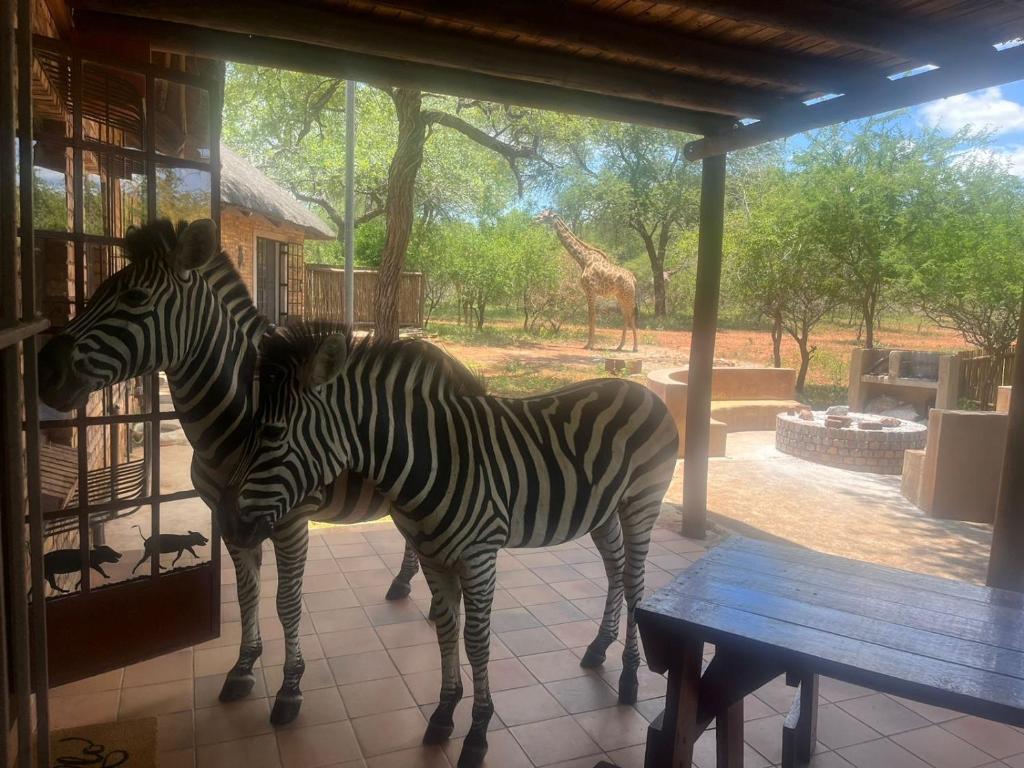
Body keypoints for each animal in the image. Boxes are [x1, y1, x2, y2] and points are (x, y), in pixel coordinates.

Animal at [36, 219, 424, 725]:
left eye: (136, 297)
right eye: (99, 289)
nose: (43, 370)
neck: (239, 424)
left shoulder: (291, 522)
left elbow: (286, 603)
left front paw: (290, 689)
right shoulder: (230, 520)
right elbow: (246, 595)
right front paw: (243, 669)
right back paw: (403, 583)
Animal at [225, 322, 679, 768]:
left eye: (272, 432)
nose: (234, 528)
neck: (429, 457)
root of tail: (639, 390)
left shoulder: (479, 556)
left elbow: (476, 641)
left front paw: (477, 735)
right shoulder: (432, 557)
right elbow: (446, 630)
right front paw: (444, 714)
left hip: (641, 504)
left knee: (635, 585)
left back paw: (629, 677)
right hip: (602, 512)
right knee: (615, 573)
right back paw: (599, 647)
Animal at [536, 210, 639, 352]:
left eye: (545, 216)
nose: (536, 219)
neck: (583, 259)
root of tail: (633, 279)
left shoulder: (590, 290)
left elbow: (591, 316)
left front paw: (589, 345)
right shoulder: (588, 291)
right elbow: (591, 316)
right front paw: (589, 344)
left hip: (628, 296)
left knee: (631, 316)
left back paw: (635, 347)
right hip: (620, 297)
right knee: (626, 316)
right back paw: (619, 346)